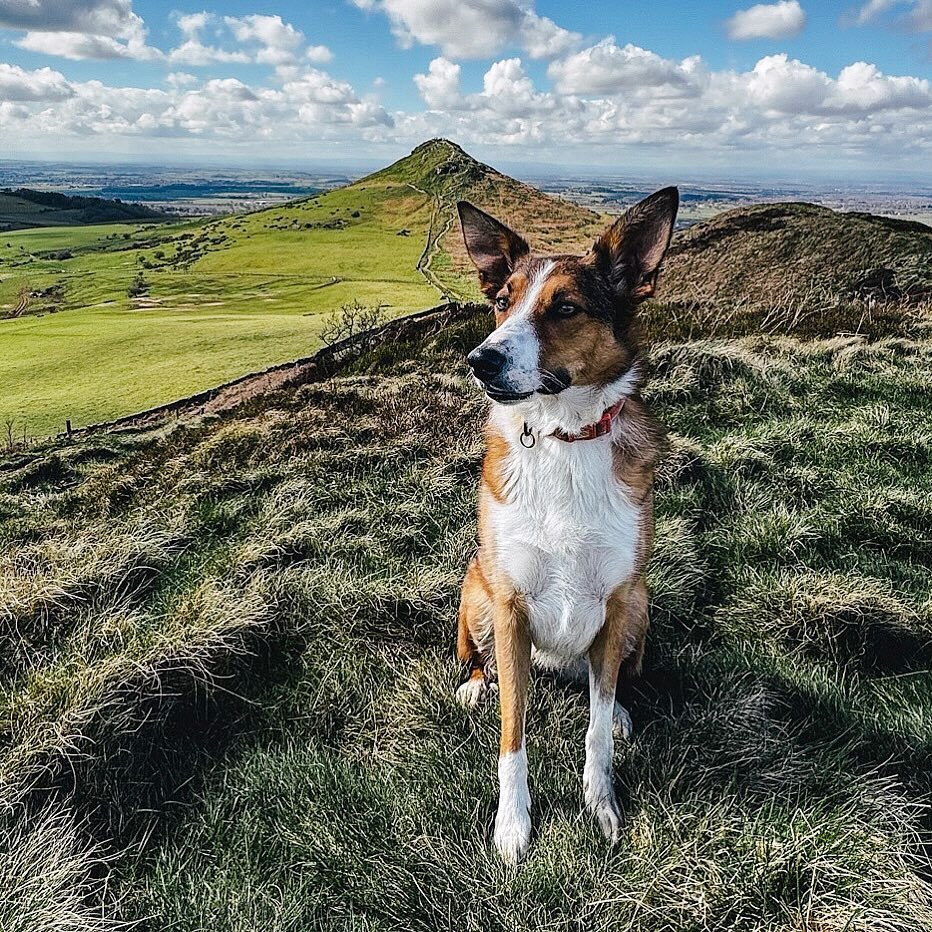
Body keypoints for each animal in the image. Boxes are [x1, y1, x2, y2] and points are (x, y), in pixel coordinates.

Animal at [454, 186, 676, 864]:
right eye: (502, 303)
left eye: (567, 308)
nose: (480, 360)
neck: (562, 438)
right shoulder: (510, 602)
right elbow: (513, 734)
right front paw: (513, 826)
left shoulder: (617, 596)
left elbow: (596, 727)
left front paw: (600, 804)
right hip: (475, 589)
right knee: (480, 661)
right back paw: (474, 685)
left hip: (642, 604)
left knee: (612, 680)